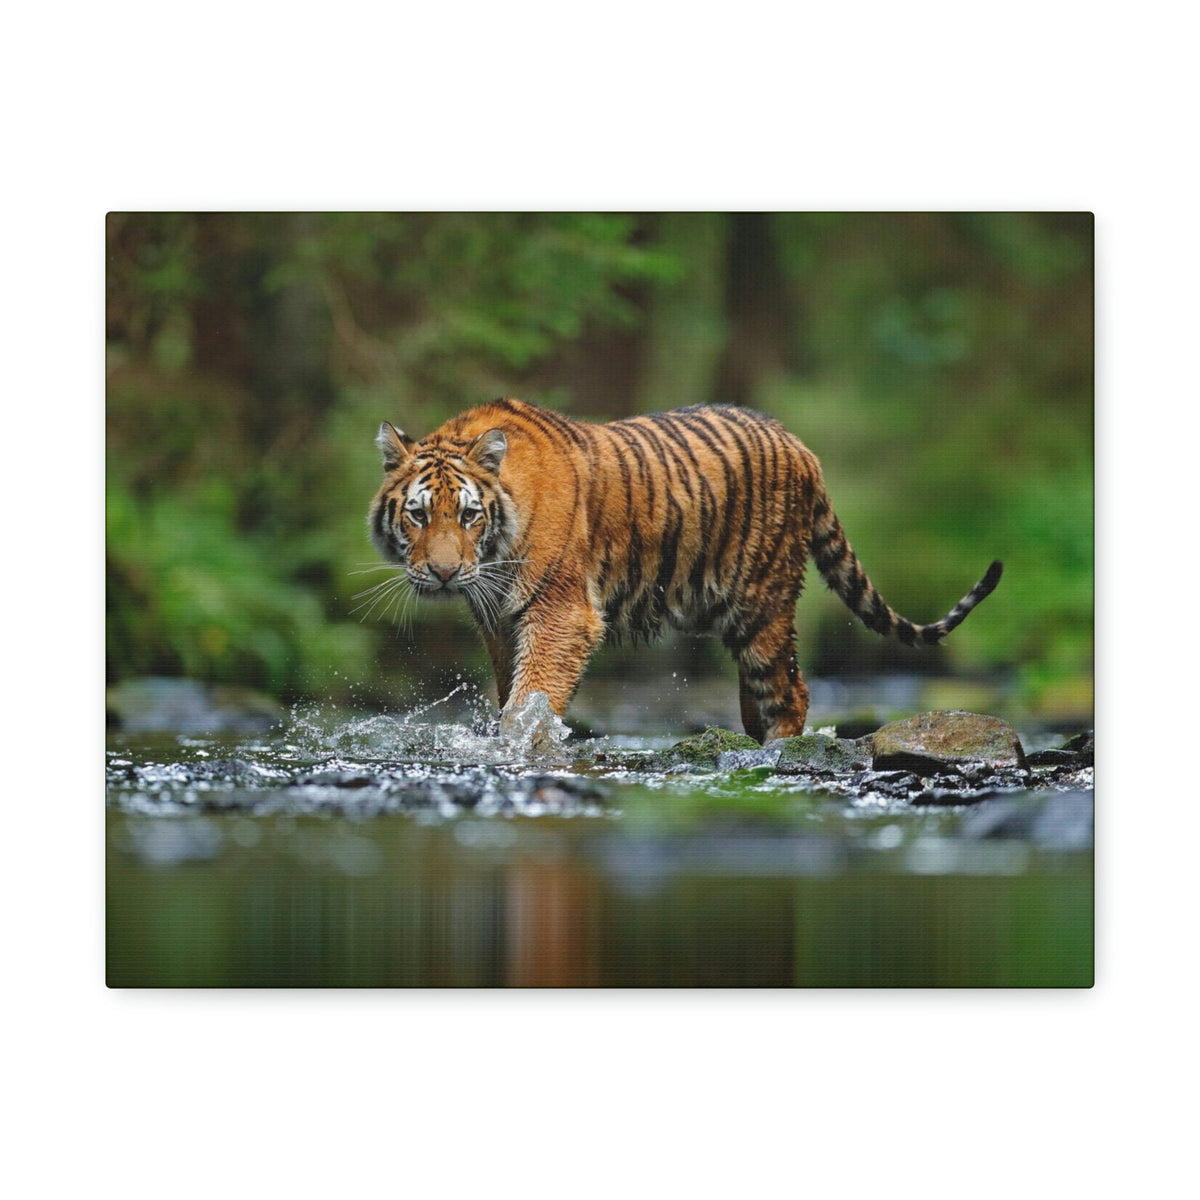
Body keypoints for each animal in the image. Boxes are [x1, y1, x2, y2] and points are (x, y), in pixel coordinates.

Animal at [368, 397, 1002, 744]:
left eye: (468, 515)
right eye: (419, 515)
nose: (444, 574)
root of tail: (801, 446)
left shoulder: (561, 613)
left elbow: (532, 698)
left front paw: (521, 746)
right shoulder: (500, 621)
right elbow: (511, 694)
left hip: (762, 604)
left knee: (790, 690)